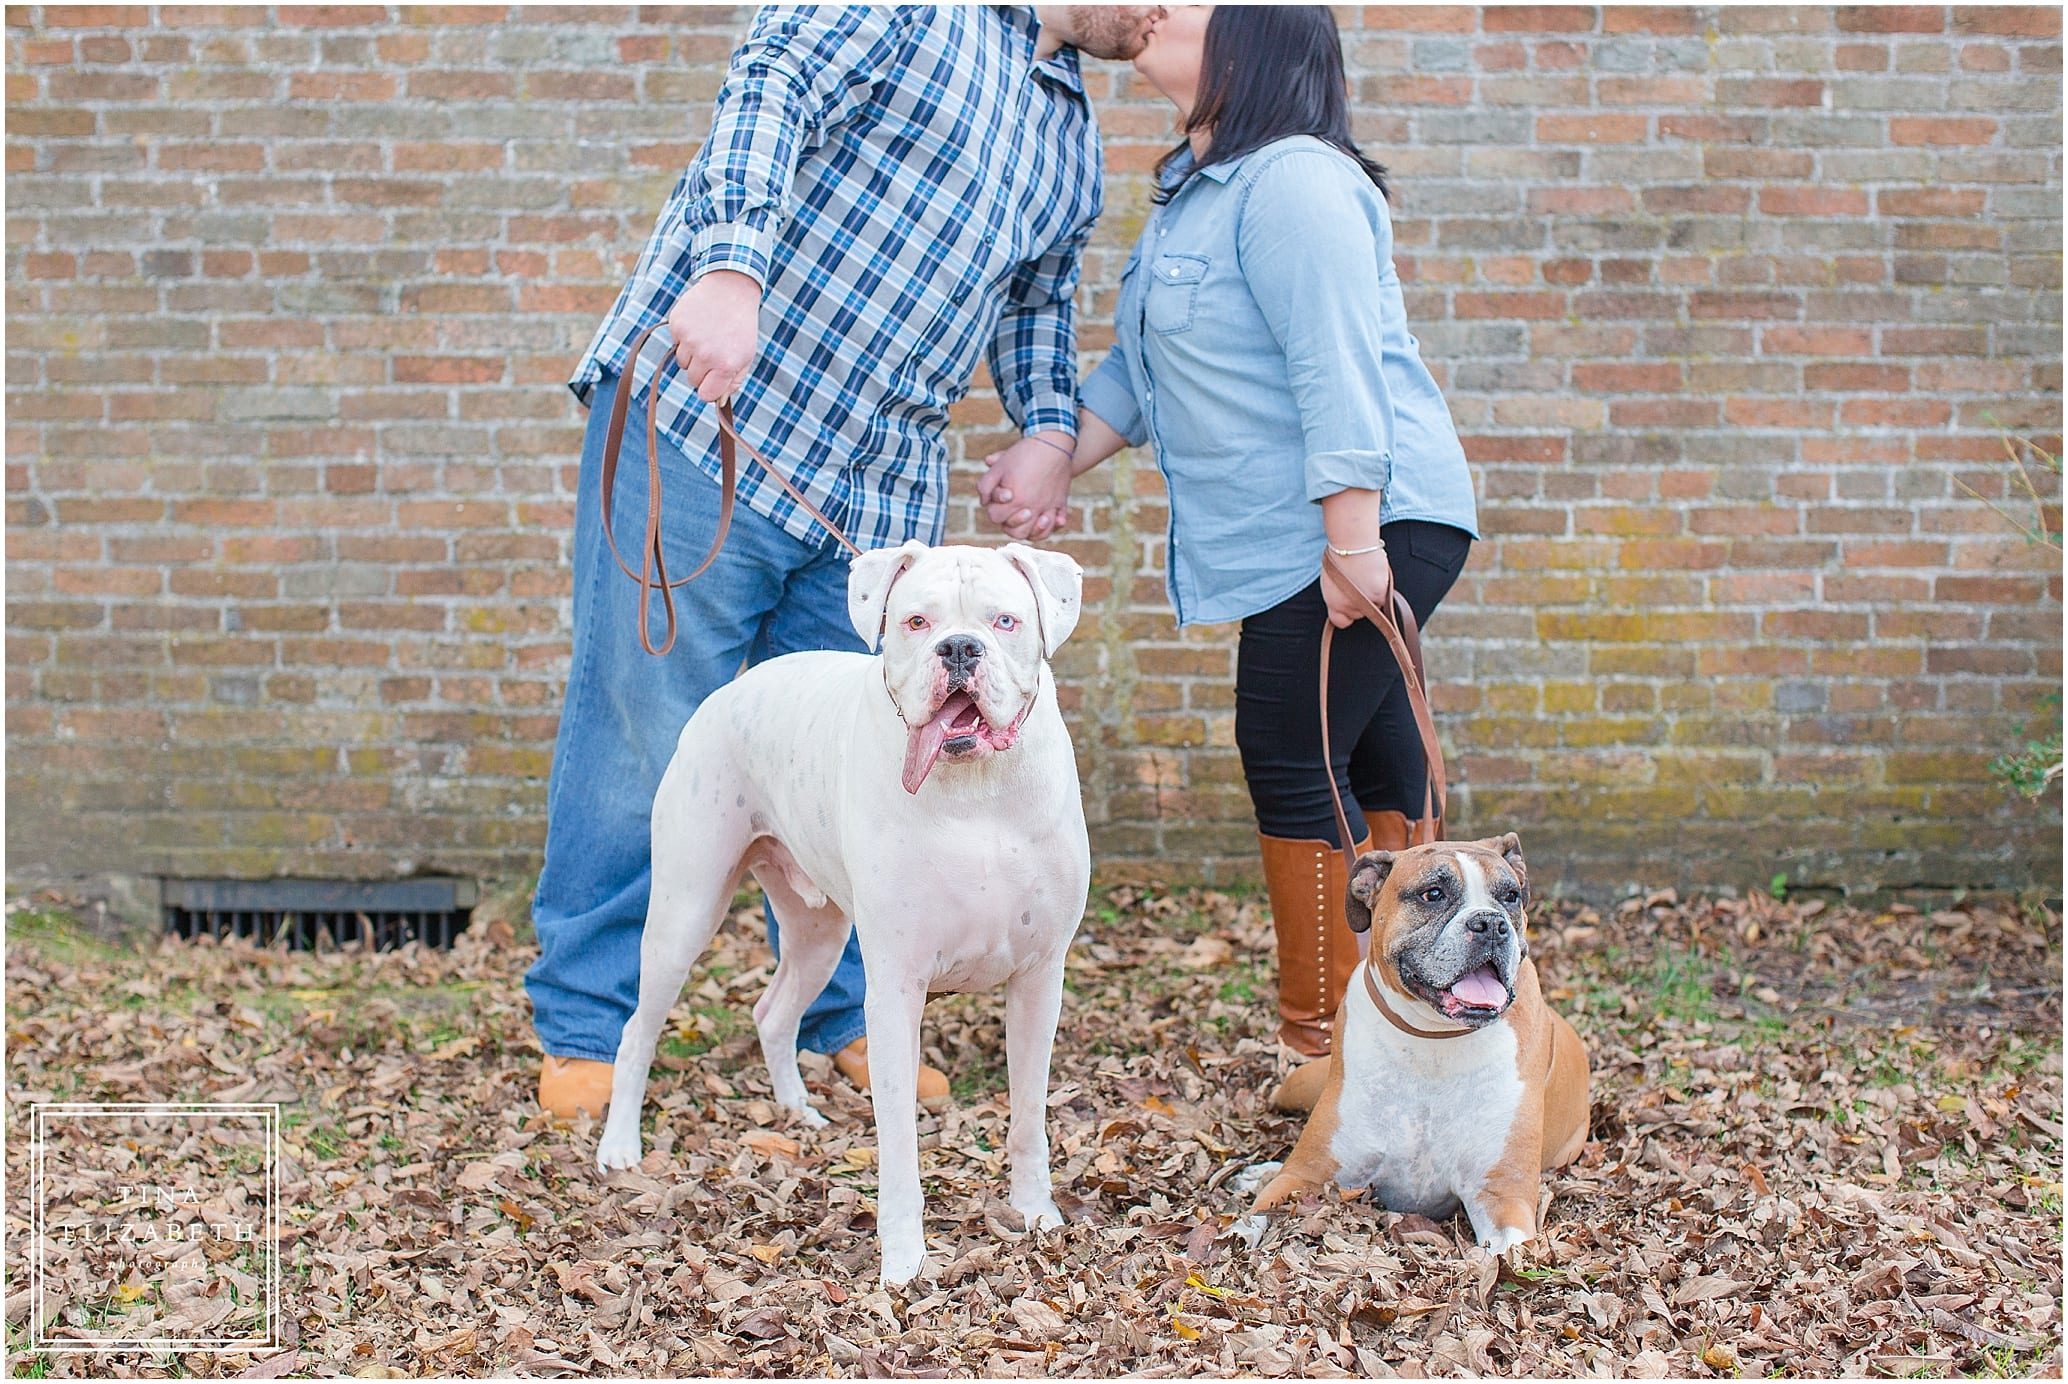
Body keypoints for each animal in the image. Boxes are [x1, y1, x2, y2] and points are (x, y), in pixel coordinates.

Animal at [595, 537, 1091, 1282]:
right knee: (638, 1030)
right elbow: (900, 1149)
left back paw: (797, 1110)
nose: (959, 648)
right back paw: (620, 1145)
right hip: (685, 914)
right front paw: (905, 1263)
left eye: (1005, 621)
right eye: (916, 621)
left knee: (773, 1012)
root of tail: (736, 686)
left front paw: (1036, 1214)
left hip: (819, 935)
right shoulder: (896, 991)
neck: (975, 788)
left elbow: (1029, 1115)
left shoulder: (1039, 980)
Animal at [1249, 831, 1588, 1249]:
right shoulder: (1304, 1174)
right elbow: (1249, 1221)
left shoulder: (1502, 1198)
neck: (1433, 1039)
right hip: (1294, 1084)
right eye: (1433, 894)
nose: (1490, 923)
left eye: (1510, 896)